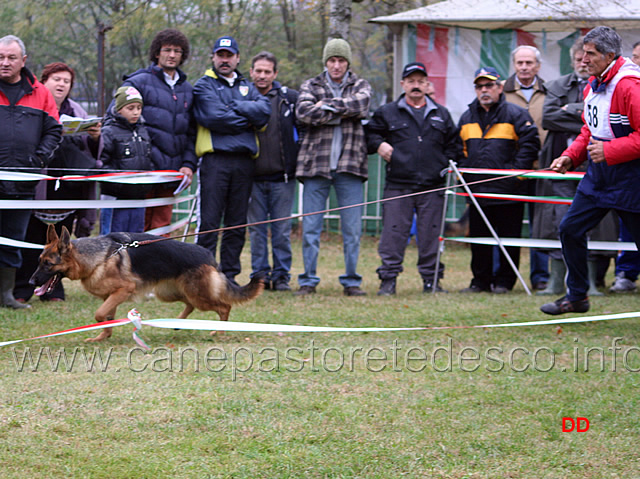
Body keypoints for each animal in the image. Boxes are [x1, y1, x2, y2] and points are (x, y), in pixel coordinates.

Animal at [28, 226, 264, 344]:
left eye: (48, 264)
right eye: (39, 261)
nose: (31, 282)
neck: (99, 257)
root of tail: (208, 255)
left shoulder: (123, 291)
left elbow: (99, 314)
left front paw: (102, 331)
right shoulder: (110, 296)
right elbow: (106, 316)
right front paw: (102, 337)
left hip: (196, 295)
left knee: (224, 306)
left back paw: (220, 331)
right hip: (171, 293)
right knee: (190, 305)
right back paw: (178, 322)